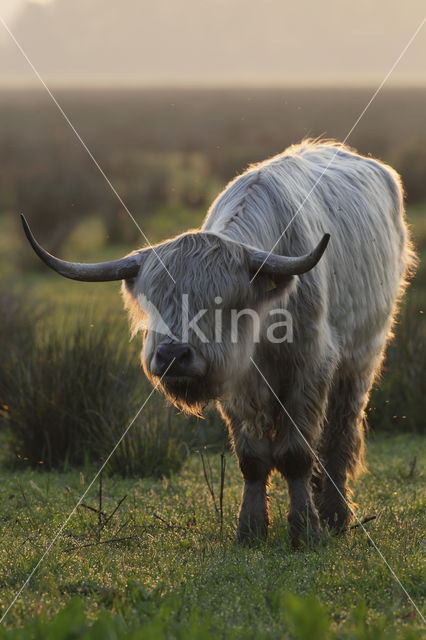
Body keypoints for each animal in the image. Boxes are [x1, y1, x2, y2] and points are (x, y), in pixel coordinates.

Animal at [21, 140, 414, 544]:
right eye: (153, 302)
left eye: (222, 302)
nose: (173, 355)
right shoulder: (238, 382)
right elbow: (252, 458)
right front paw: (251, 528)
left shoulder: (310, 367)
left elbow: (296, 454)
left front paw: (306, 528)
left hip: (361, 358)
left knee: (340, 434)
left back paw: (335, 514)